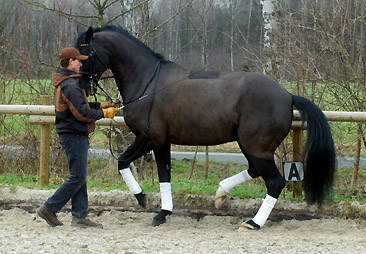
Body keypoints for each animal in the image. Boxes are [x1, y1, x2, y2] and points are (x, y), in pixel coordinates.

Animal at [76, 25, 336, 230]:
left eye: (84, 51)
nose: (80, 85)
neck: (148, 82)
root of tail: (287, 95)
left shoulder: (149, 137)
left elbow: (122, 161)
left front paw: (142, 198)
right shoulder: (163, 142)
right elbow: (164, 175)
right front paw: (163, 213)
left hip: (257, 148)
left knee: (274, 182)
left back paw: (253, 223)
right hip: (249, 146)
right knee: (255, 172)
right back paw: (221, 195)